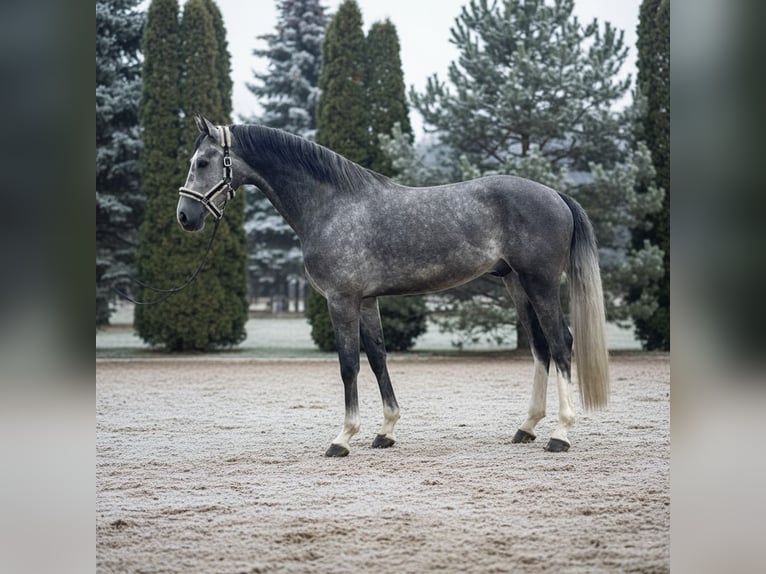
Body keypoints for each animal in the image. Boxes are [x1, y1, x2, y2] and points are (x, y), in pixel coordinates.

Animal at [177, 115, 610, 457]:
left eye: (203, 162)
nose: (185, 216)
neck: (332, 206)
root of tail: (555, 194)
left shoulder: (342, 300)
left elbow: (348, 364)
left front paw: (343, 437)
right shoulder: (367, 301)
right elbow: (378, 358)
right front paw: (385, 431)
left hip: (541, 284)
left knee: (561, 343)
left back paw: (560, 433)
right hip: (517, 286)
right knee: (540, 348)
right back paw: (527, 427)